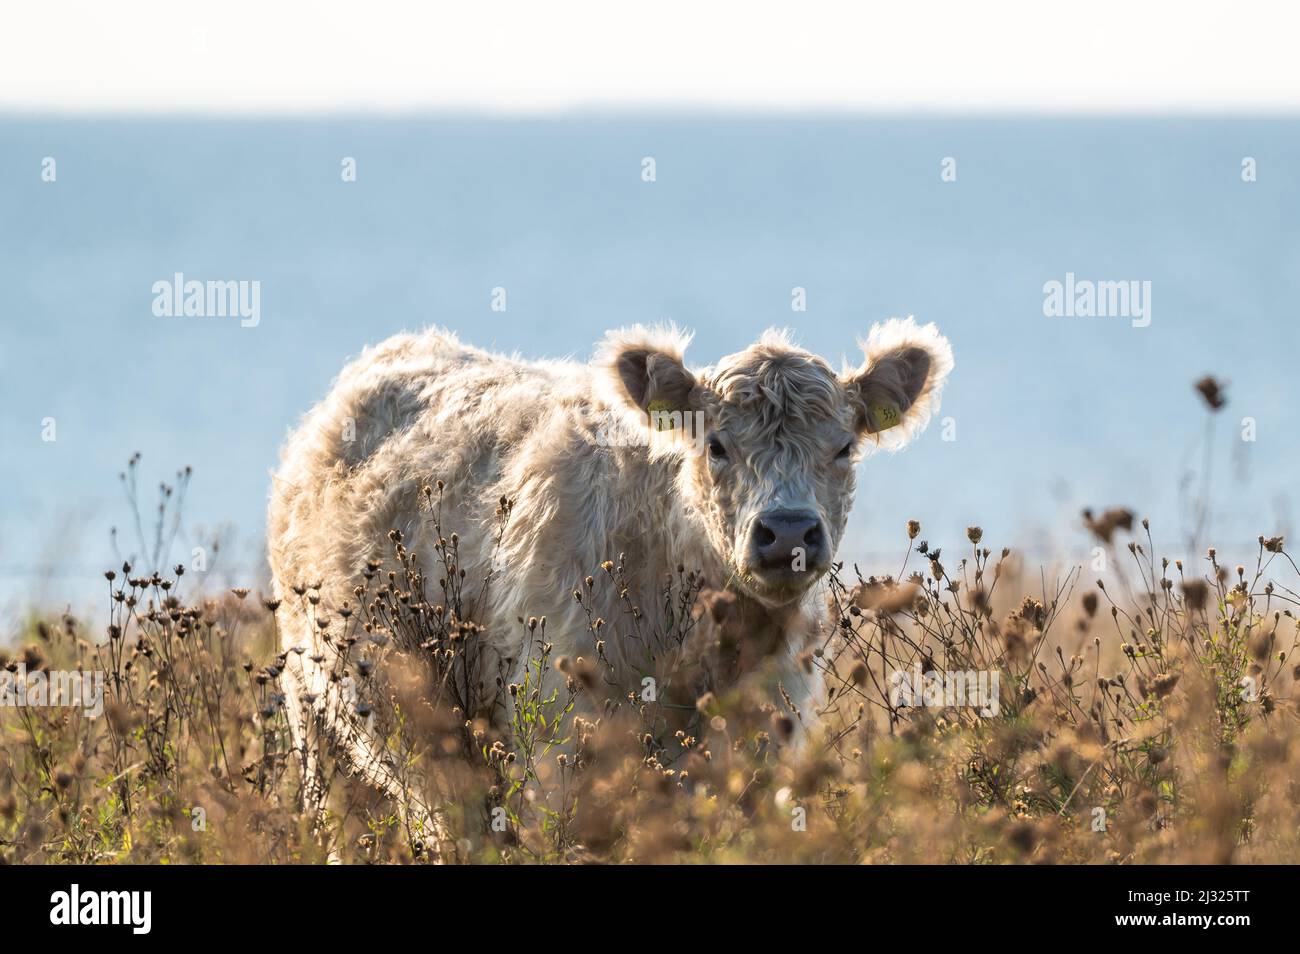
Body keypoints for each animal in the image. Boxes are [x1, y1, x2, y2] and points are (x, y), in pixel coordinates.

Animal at [266, 319, 956, 857]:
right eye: (716, 445)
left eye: (844, 448)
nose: (787, 531)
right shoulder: (563, 743)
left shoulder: (766, 744)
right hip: (318, 715)